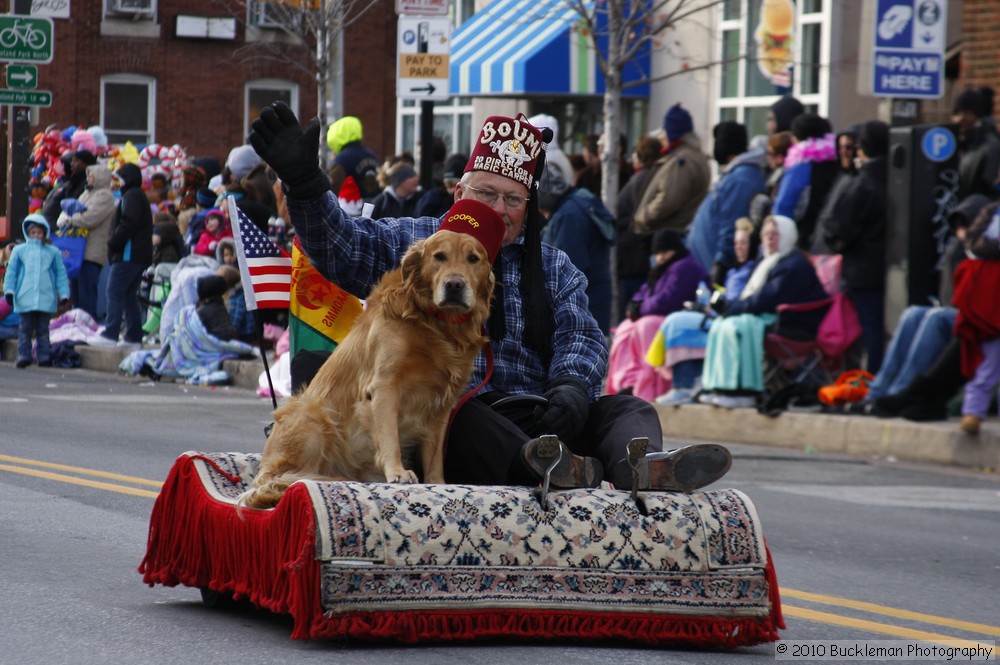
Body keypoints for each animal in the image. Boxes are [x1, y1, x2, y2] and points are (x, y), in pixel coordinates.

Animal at [238, 228, 496, 508]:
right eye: (439, 256)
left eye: (473, 259)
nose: (455, 285)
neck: (433, 322)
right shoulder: (384, 385)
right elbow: (389, 434)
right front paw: (397, 472)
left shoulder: (443, 402)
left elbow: (435, 452)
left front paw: (438, 483)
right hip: (314, 412)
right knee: (281, 478)